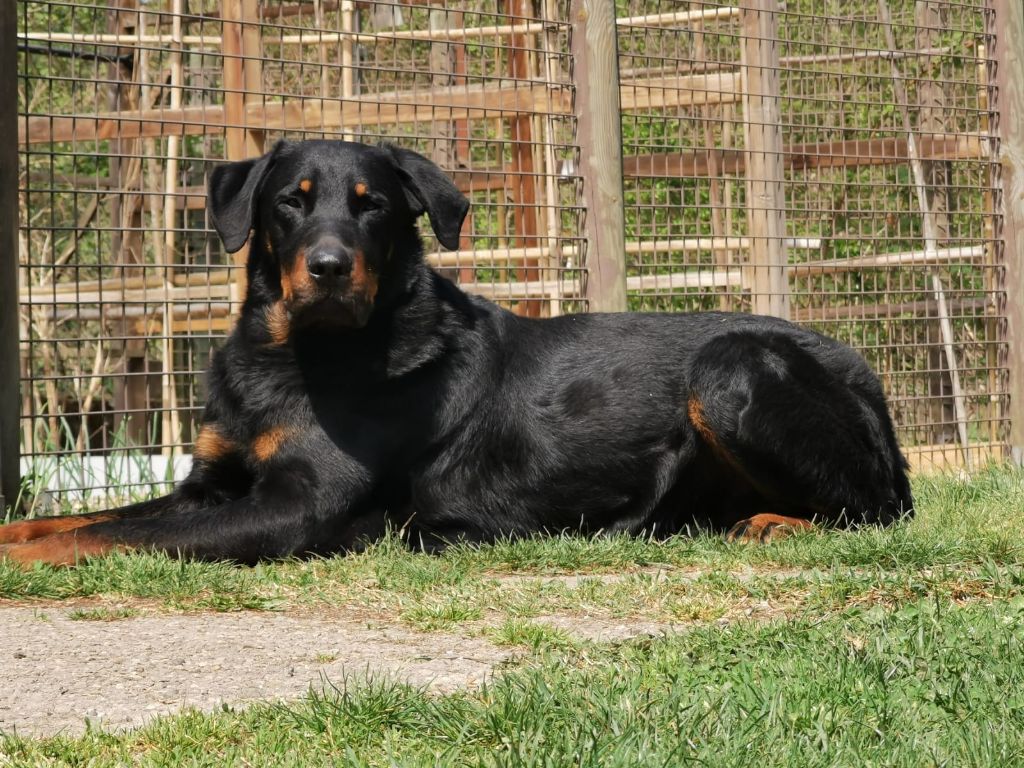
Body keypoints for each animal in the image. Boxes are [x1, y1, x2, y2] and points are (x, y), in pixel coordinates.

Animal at [0, 141, 913, 569]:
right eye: (290, 203)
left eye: (371, 207)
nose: (328, 268)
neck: (297, 354)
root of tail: (866, 373)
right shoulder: (211, 483)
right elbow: (86, 517)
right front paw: (17, 534)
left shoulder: (298, 508)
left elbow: (115, 538)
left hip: (734, 366)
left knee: (877, 510)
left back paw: (774, 524)